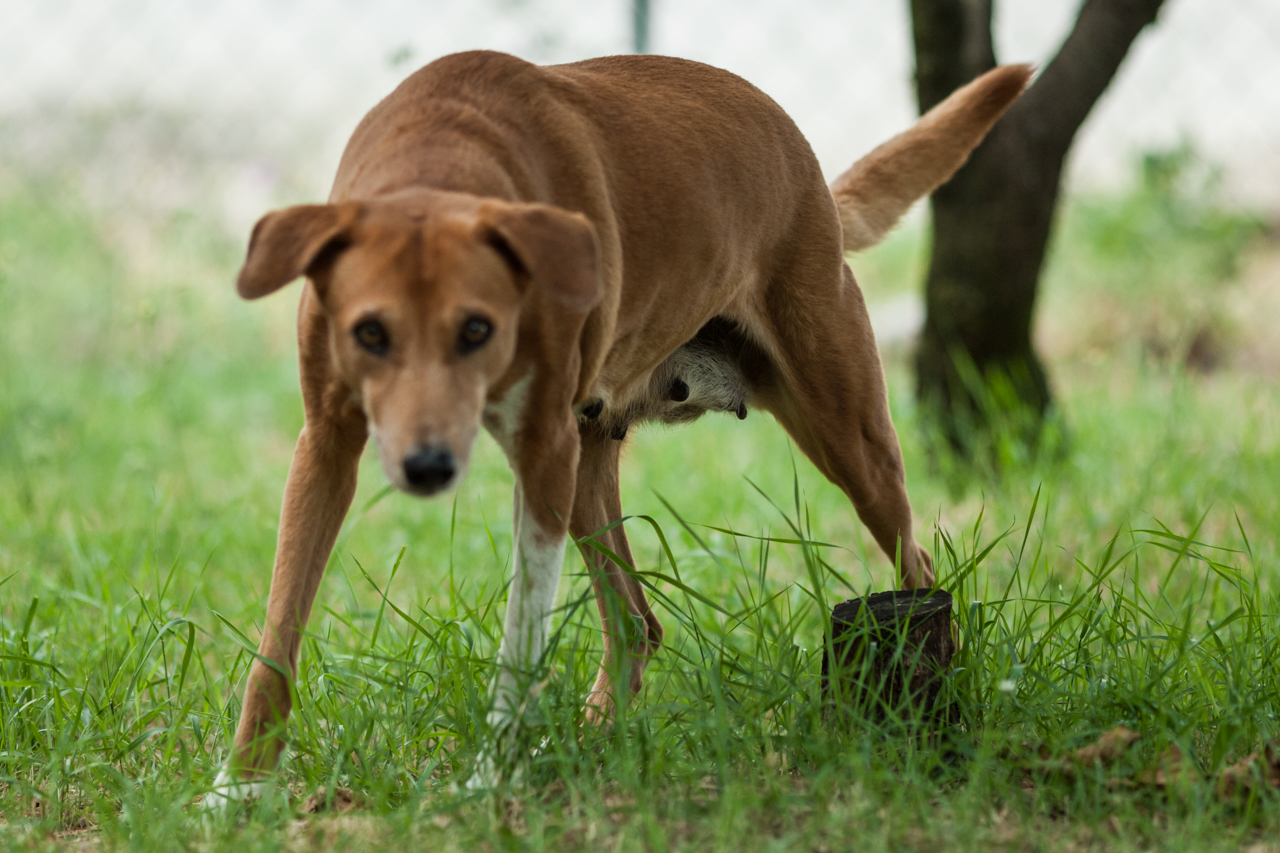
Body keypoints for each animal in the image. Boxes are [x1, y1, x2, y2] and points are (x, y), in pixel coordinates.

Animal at [209, 51, 1029, 799]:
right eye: (370, 332)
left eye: (477, 329)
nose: (428, 466)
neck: (439, 157)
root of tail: (810, 173)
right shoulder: (326, 446)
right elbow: (279, 632)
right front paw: (238, 787)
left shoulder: (542, 452)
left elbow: (521, 636)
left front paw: (491, 778)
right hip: (590, 471)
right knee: (637, 622)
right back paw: (591, 740)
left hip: (846, 434)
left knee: (919, 564)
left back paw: (924, 707)